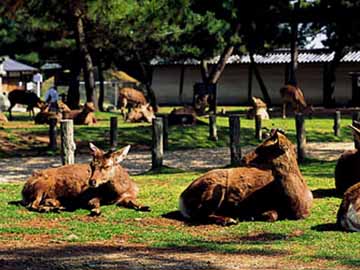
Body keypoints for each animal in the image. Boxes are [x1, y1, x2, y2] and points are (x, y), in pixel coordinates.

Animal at [20, 143, 150, 215]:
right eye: (91, 165)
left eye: (107, 166)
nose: (91, 181)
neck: (116, 194)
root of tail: (23, 190)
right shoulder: (88, 195)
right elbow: (94, 203)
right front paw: (96, 211)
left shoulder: (129, 195)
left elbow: (133, 202)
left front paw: (145, 206)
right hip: (41, 185)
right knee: (32, 205)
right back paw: (49, 209)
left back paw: (56, 206)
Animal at [179, 129, 314, 226]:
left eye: (263, 148)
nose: (243, 159)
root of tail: (182, 197)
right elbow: (271, 216)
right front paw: (253, 216)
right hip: (212, 190)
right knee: (202, 215)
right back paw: (230, 220)